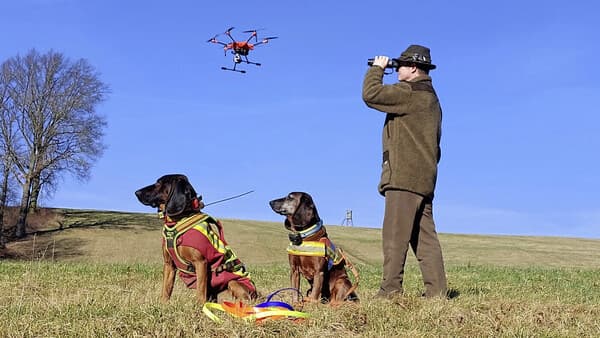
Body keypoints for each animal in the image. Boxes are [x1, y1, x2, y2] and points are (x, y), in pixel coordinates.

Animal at [135, 174, 256, 304]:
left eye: (159, 183)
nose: (136, 192)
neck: (178, 221)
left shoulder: (200, 263)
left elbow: (200, 290)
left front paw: (200, 306)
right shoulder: (169, 264)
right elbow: (166, 289)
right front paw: (163, 304)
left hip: (234, 283)